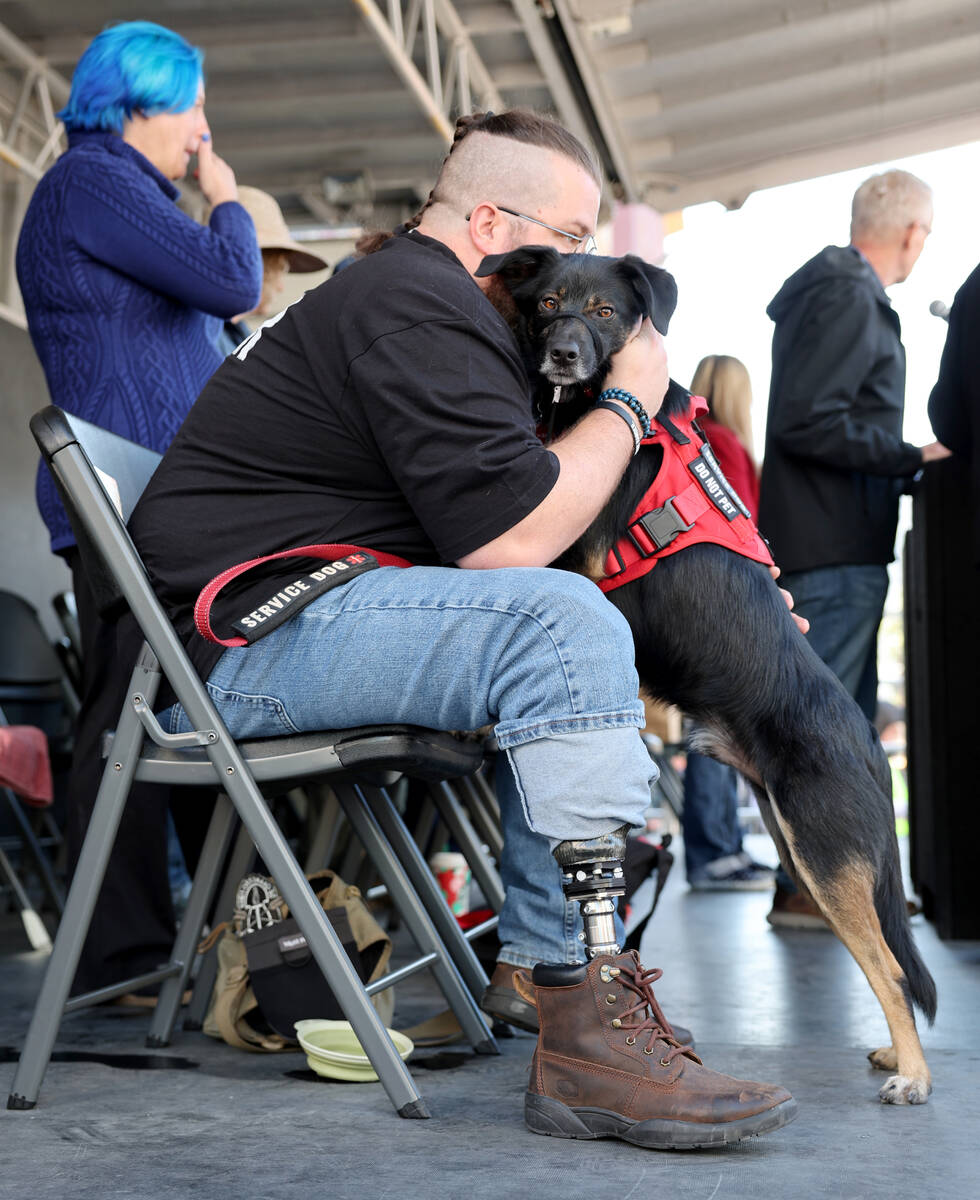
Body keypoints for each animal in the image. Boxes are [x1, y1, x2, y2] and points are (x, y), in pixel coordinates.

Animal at [477, 246, 935, 1104]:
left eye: (606, 311)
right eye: (549, 301)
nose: (563, 354)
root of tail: (871, 739)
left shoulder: (580, 562)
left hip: (827, 855)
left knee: (891, 968)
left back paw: (914, 1074)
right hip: (811, 851)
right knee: (885, 959)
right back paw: (898, 1057)